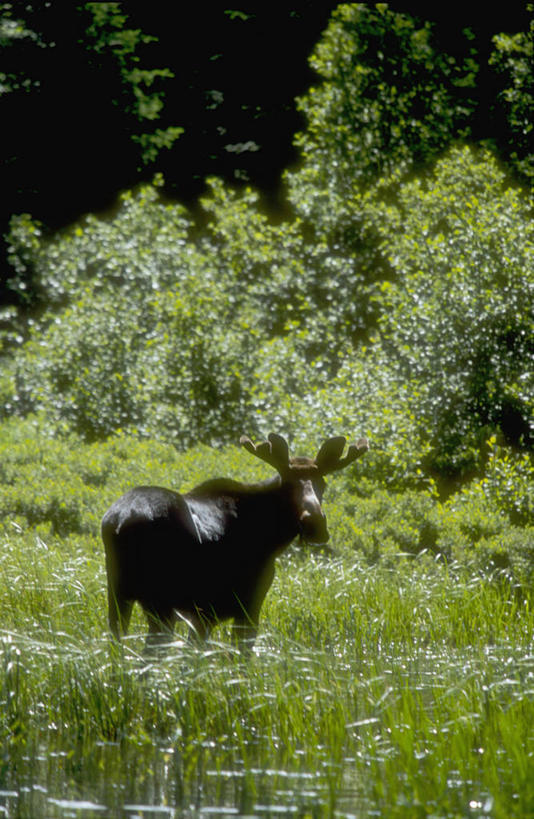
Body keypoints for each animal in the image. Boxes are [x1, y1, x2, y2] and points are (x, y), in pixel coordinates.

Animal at [101, 436, 368, 652]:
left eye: (323, 483)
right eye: (288, 484)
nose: (315, 524)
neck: (273, 539)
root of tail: (119, 522)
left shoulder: (202, 616)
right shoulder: (245, 605)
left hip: (118, 594)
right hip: (160, 602)